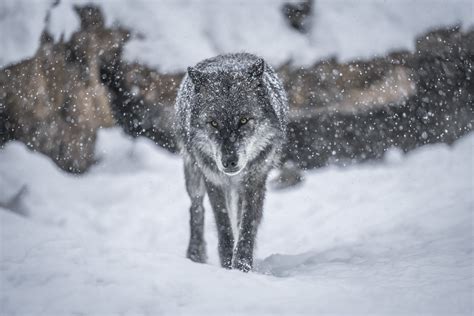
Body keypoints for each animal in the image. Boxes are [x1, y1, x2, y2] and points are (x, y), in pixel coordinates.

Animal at [173, 52, 286, 272]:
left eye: (243, 120)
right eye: (213, 123)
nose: (229, 162)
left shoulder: (255, 181)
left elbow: (247, 226)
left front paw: (242, 265)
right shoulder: (213, 180)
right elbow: (224, 226)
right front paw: (227, 264)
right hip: (194, 175)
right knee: (196, 208)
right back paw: (195, 253)